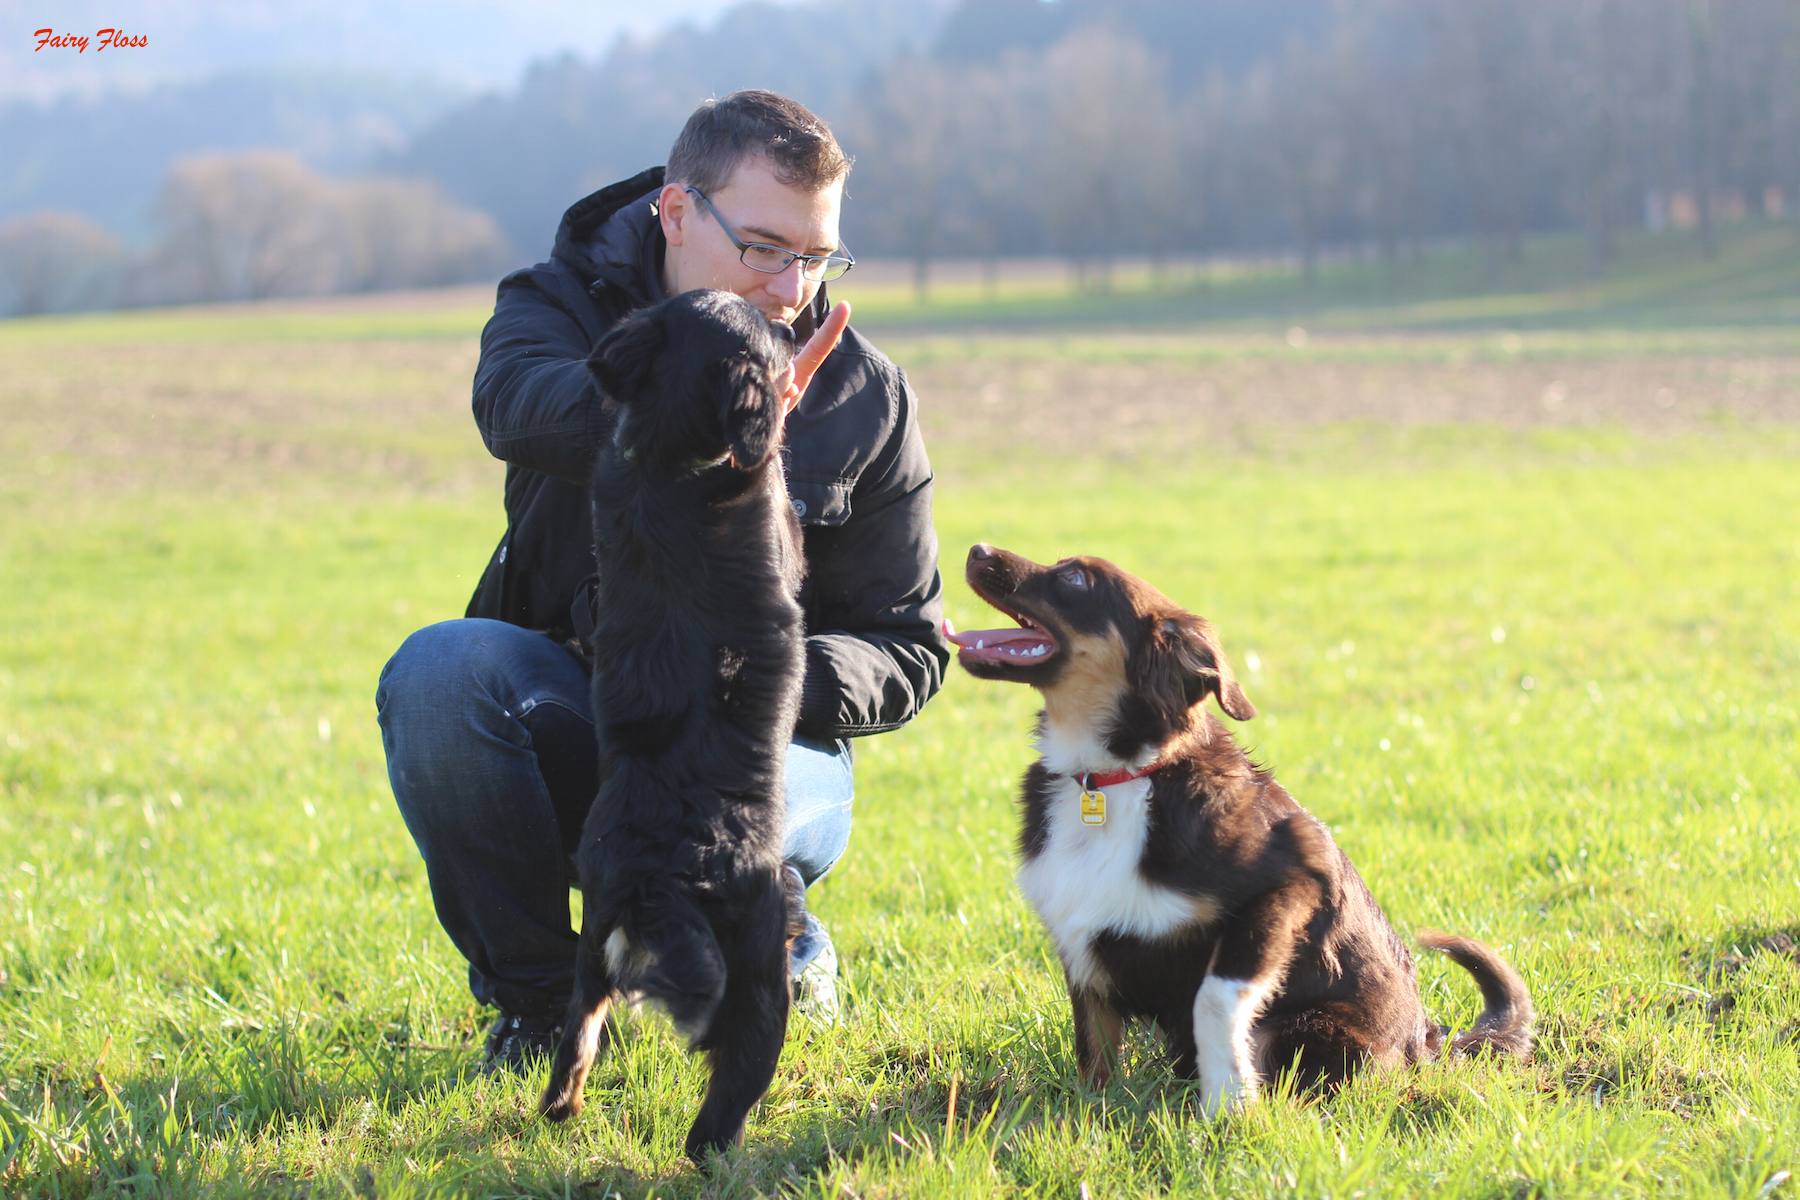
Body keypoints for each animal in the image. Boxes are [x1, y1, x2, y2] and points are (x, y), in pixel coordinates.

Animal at [532, 287, 802, 1165]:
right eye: (767, 337)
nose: (790, 323)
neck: (668, 455)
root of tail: (656, 880)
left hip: (590, 953)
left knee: (575, 1044)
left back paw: (559, 1111)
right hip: (761, 973)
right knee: (714, 1122)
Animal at [943, 550, 1533, 1115]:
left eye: (1076, 579)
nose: (975, 549)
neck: (1117, 774)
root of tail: (1425, 1045)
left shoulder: (1286, 886)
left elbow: (1214, 999)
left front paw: (1228, 1102)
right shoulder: (1080, 942)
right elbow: (1094, 1052)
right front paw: (1092, 1114)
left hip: (1314, 1027)